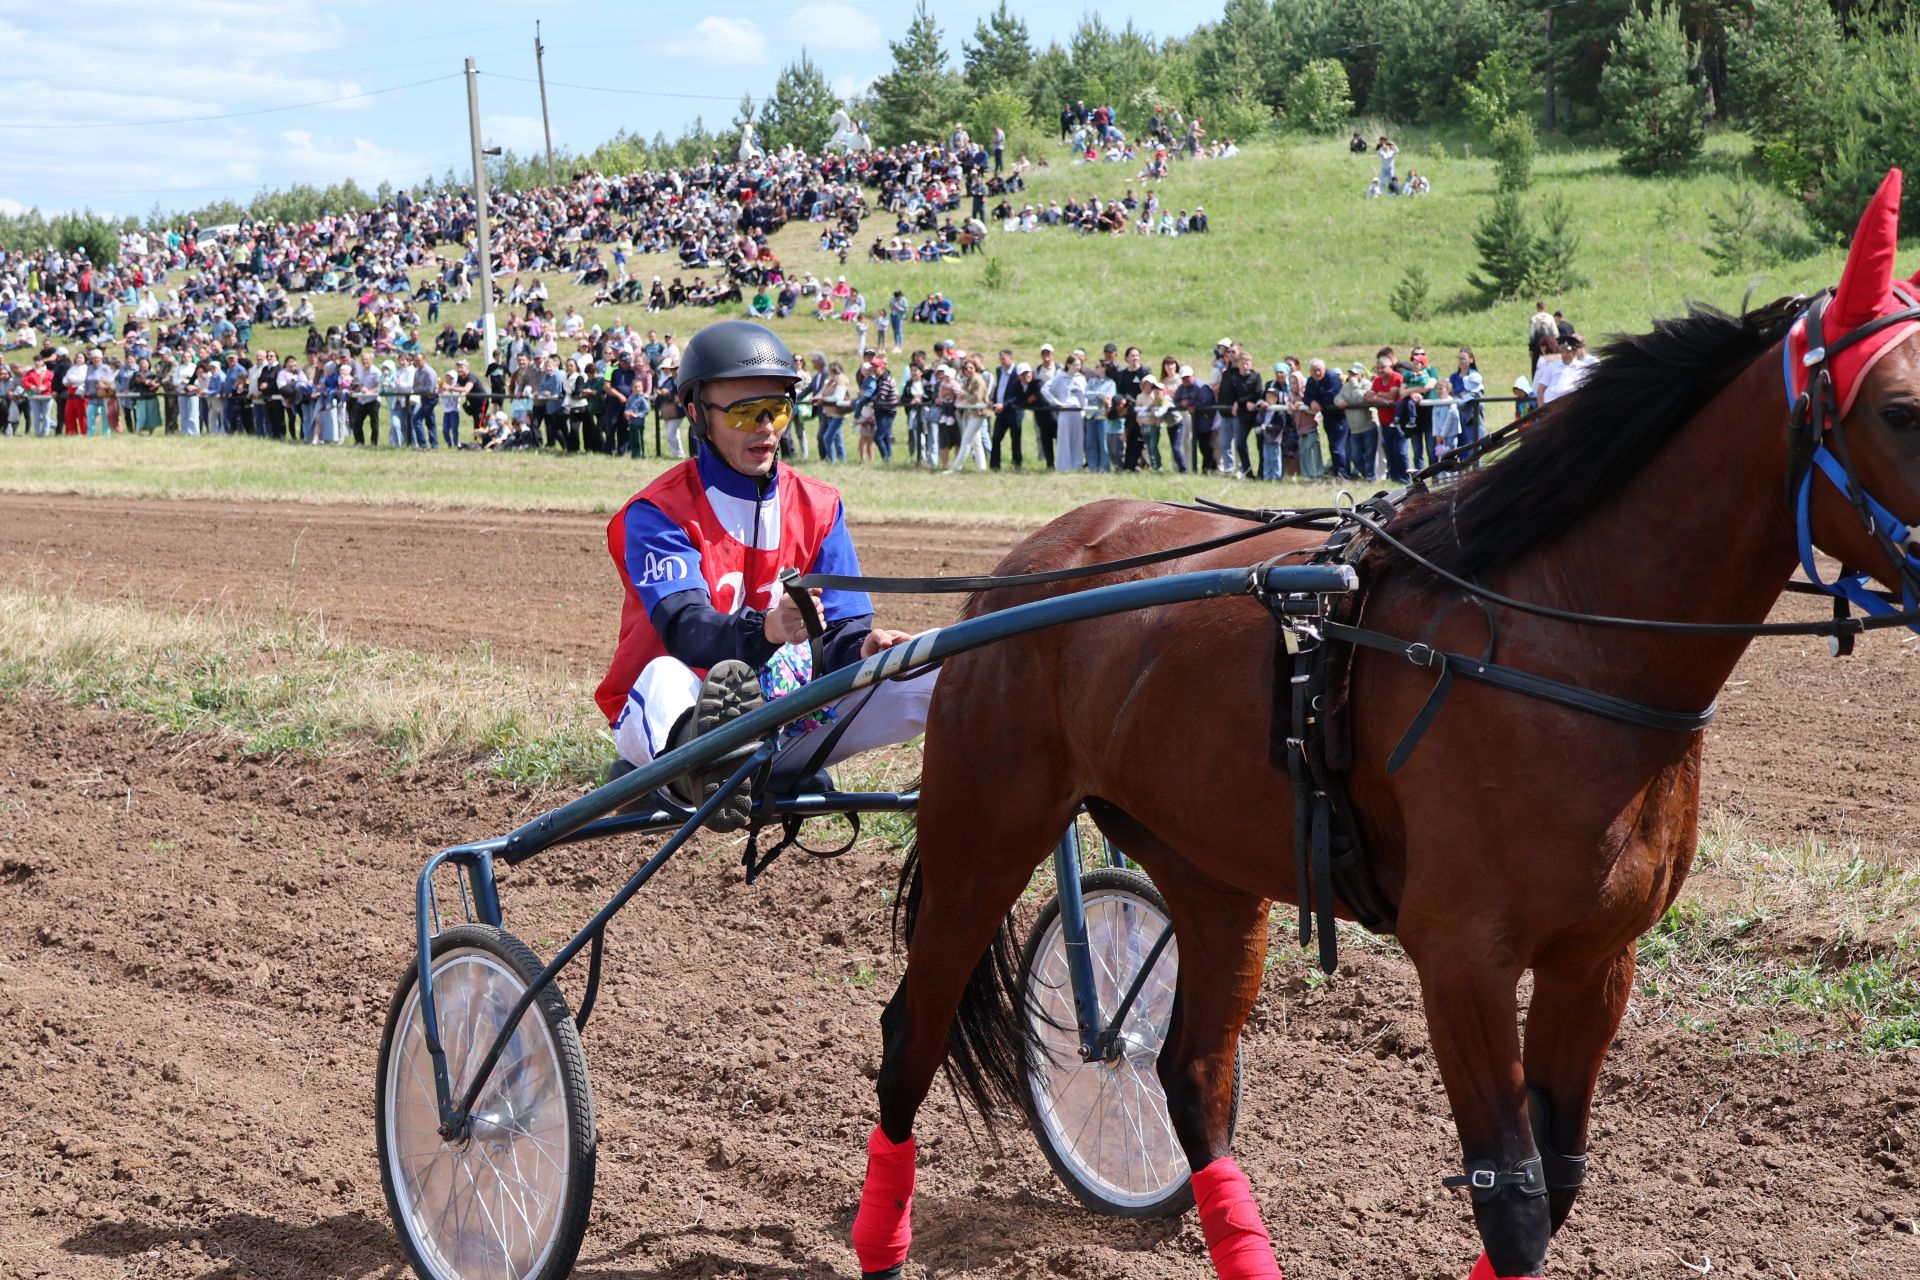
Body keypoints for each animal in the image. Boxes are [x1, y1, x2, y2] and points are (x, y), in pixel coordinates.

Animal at [848, 175, 1920, 1274]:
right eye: (1901, 409)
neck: (1561, 638)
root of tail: (1022, 567)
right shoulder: (1462, 956)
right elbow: (1514, 1198)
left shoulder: (1596, 958)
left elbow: (1559, 1178)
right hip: (985, 831)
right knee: (910, 1035)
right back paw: (882, 1236)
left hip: (1210, 869)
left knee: (1190, 1076)